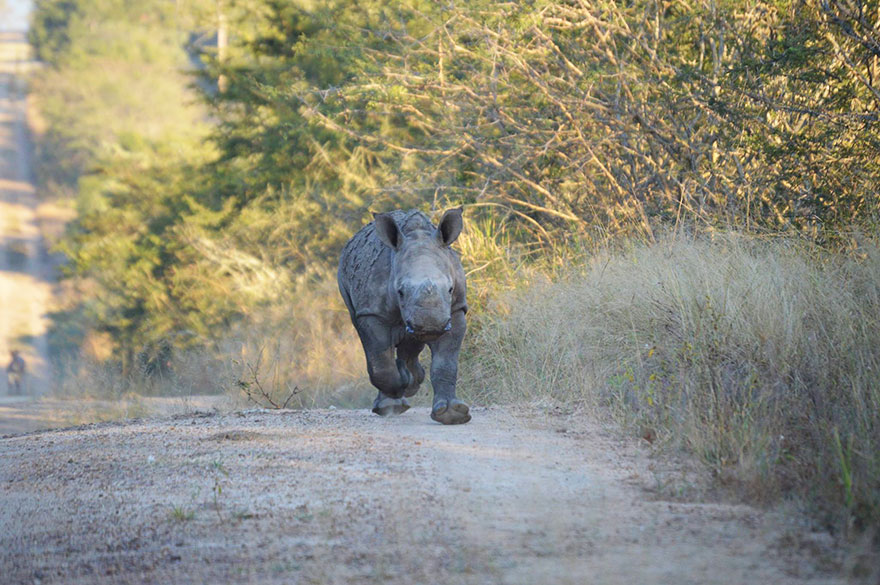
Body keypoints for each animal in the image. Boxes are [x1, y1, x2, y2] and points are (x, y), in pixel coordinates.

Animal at [337, 208, 471, 424]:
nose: (430, 325)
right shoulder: (372, 312)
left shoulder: (456, 310)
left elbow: (446, 363)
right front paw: (393, 400)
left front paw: (452, 414)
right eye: (400, 291)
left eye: (450, 289)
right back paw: (395, 396)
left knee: (411, 343)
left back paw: (411, 380)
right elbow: (381, 363)